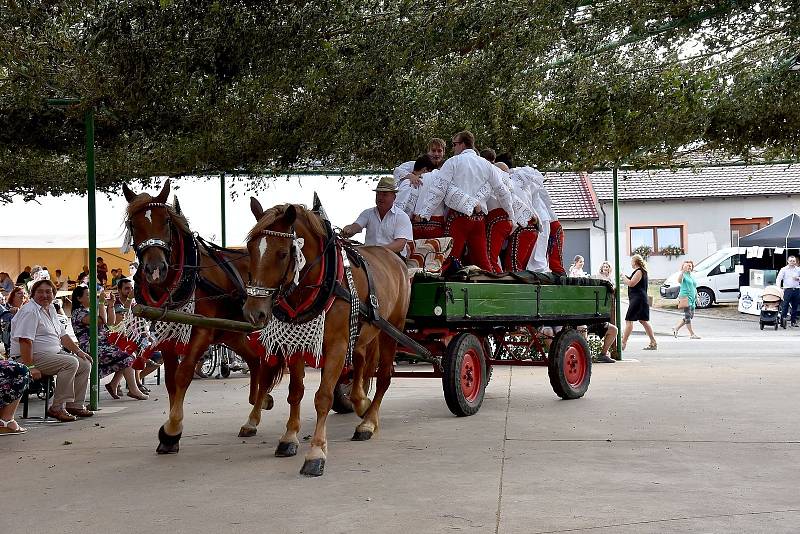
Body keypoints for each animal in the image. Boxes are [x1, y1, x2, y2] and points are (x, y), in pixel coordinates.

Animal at [123, 182, 282, 454]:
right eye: (133, 224)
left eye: (166, 221)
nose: (155, 270)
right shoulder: (168, 338)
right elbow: (170, 381)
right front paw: (171, 434)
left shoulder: (202, 332)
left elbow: (184, 374)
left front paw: (172, 430)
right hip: (230, 332)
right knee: (255, 361)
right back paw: (256, 409)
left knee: (265, 363)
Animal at [244, 200, 410, 478]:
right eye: (250, 250)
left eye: (282, 254)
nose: (254, 312)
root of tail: (394, 258)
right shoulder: (296, 345)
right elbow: (295, 392)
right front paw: (289, 437)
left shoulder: (337, 346)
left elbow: (323, 397)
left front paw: (316, 452)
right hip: (364, 333)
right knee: (362, 364)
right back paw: (361, 403)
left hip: (391, 329)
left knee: (384, 376)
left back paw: (368, 422)